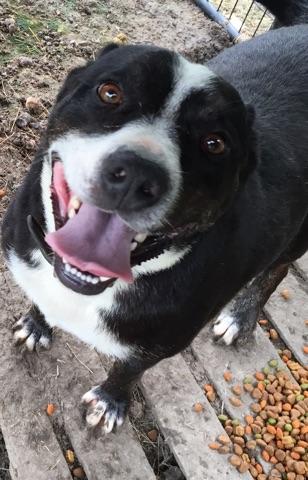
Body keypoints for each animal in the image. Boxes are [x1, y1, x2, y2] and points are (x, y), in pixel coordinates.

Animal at [1, 0, 308, 434]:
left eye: (215, 143)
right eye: (109, 92)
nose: (136, 175)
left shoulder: (162, 342)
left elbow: (130, 368)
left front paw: (110, 401)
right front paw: (35, 324)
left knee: (276, 270)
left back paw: (240, 317)